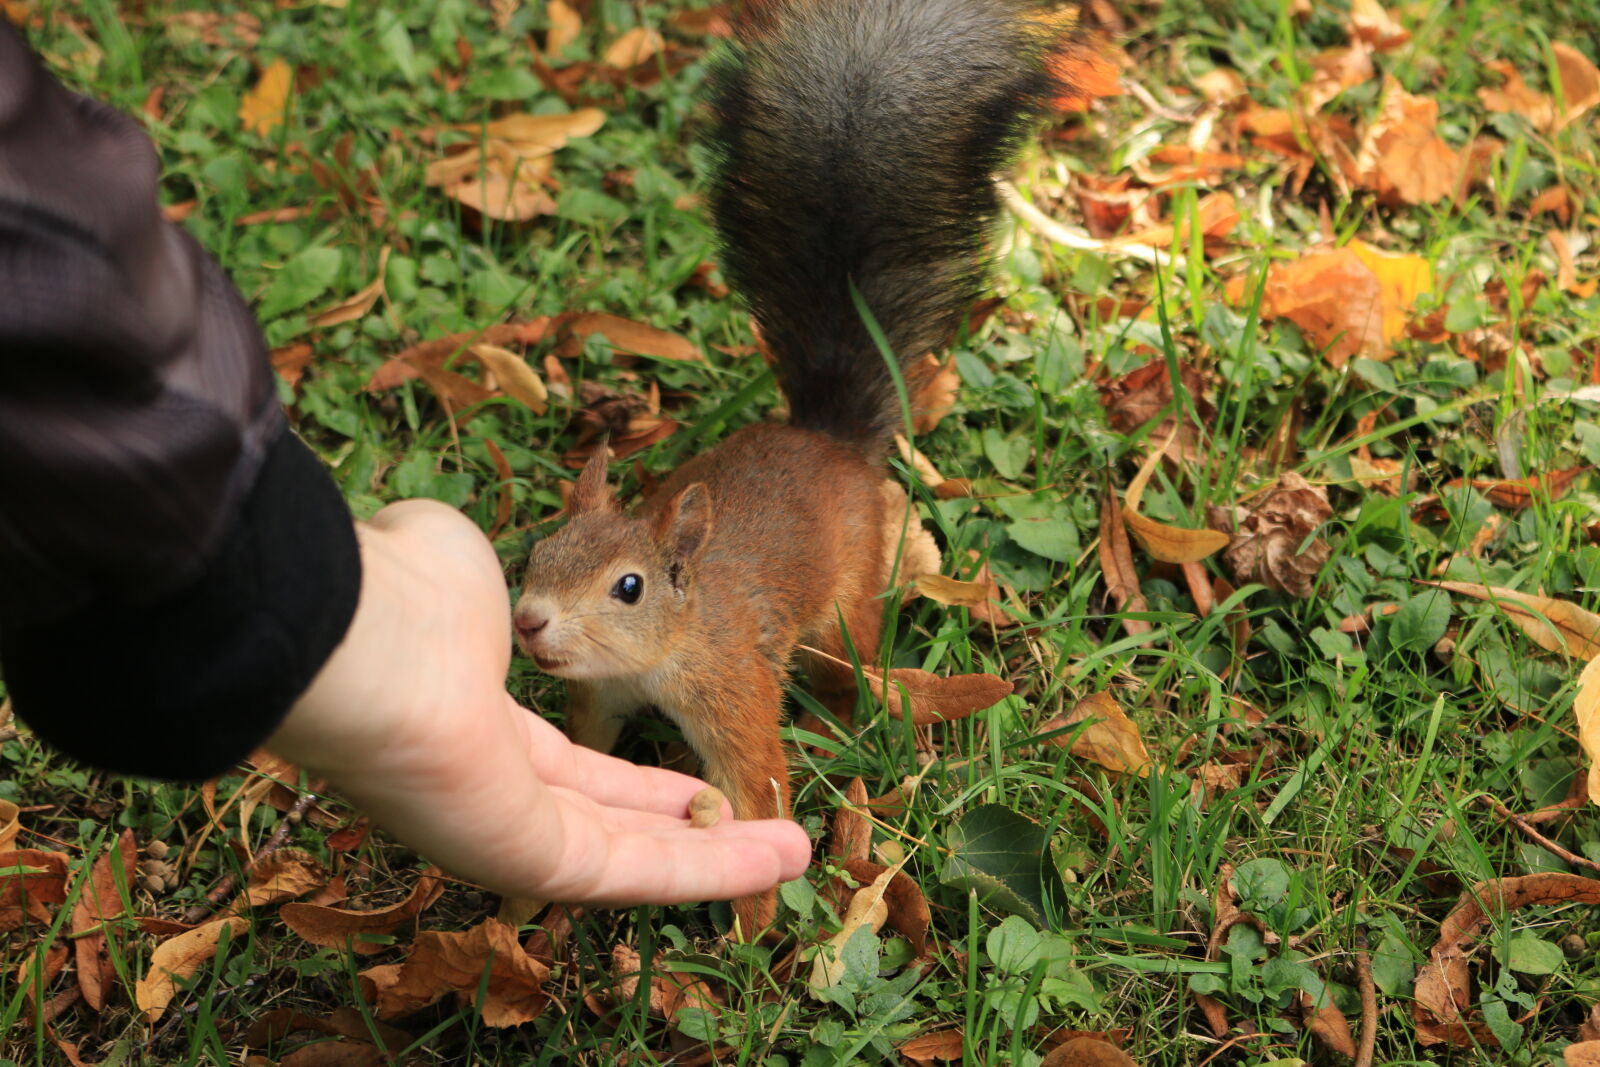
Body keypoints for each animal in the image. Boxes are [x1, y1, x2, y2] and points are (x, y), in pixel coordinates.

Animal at [515, 0, 1049, 934]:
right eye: (538, 551)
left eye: (629, 587)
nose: (530, 622)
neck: (662, 652)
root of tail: (829, 439)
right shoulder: (602, 696)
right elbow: (592, 746)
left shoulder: (731, 687)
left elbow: (756, 789)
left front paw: (751, 928)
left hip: (845, 602)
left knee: (851, 665)